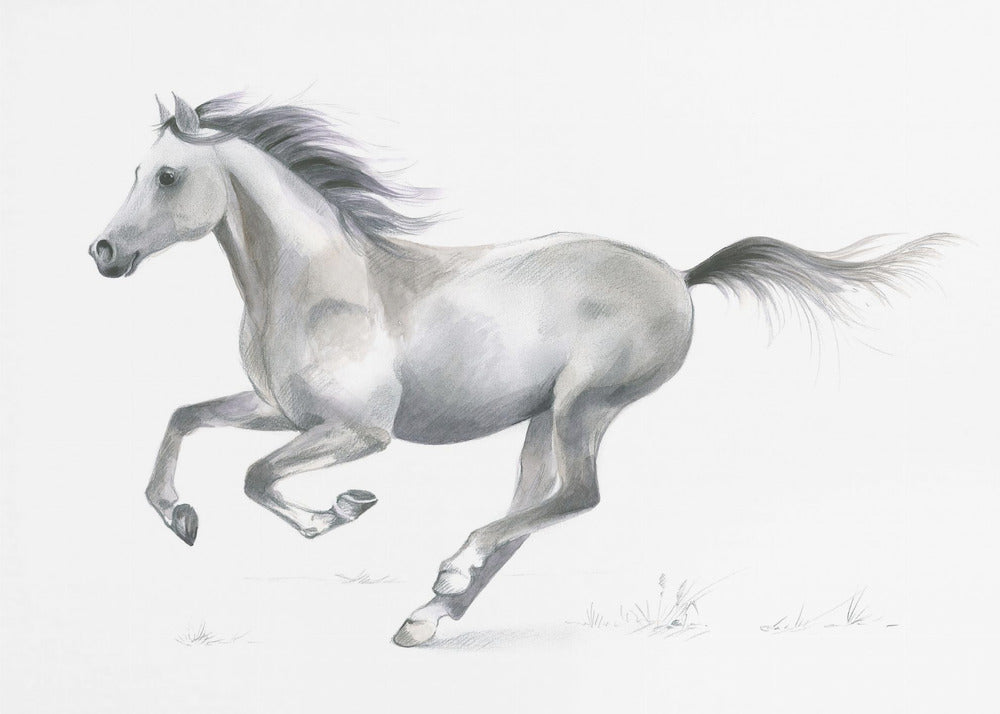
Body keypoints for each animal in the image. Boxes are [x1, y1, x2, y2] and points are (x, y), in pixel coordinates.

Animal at [88, 94, 951, 647]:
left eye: (166, 175)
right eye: (135, 168)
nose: (103, 252)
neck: (320, 283)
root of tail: (680, 276)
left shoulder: (359, 432)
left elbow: (257, 477)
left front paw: (339, 511)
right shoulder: (283, 410)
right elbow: (183, 418)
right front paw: (178, 516)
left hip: (584, 406)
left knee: (576, 496)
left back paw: (448, 575)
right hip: (543, 417)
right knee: (534, 509)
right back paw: (427, 617)